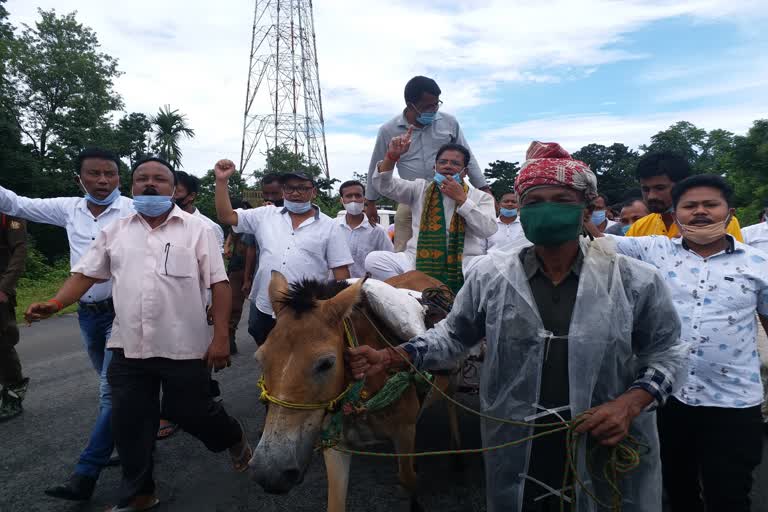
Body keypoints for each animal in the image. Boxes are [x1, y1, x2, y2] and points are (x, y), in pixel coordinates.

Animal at [250, 270, 462, 510]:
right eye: (260, 358)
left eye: (326, 363)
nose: (269, 472)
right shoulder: (337, 444)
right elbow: (335, 502)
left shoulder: (404, 430)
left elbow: (408, 479)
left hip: (453, 375)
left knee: (452, 403)